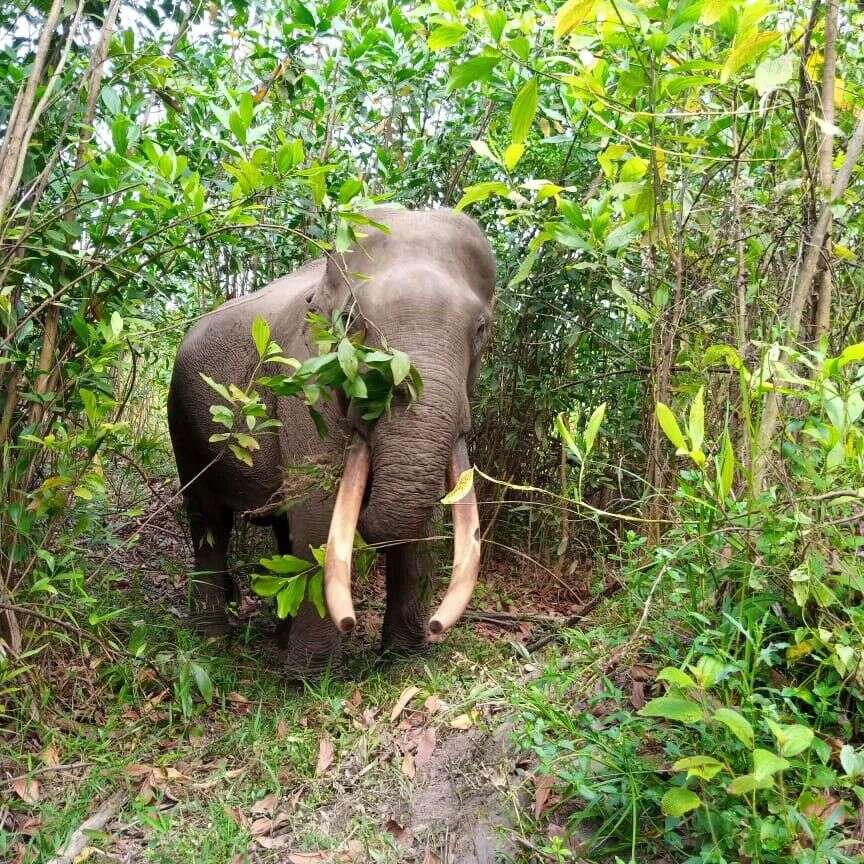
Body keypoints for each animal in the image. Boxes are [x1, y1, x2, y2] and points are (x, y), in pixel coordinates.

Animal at [166, 208, 496, 676]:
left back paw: (279, 639)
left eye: (481, 329)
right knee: (208, 518)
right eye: (353, 324)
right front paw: (308, 679)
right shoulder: (304, 382)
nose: (436, 626)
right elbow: (319, 510)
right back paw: (212, 638)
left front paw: (405, 662)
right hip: (183, 424)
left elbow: (423, 516)